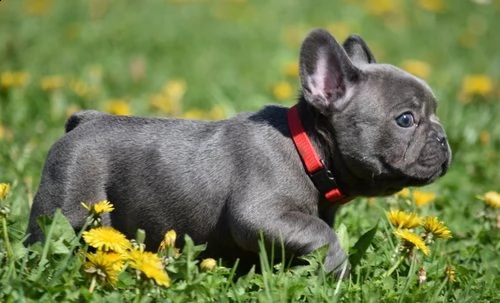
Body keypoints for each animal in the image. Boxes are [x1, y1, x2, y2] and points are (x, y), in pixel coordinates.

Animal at [25, 29, 452, 278]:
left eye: (434, 113)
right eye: (406, 119)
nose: (443, 137)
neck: (306, 148)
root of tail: (84, 120)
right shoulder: (261, 213)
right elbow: (324, 235)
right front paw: (337, 271)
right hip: (66, 205)